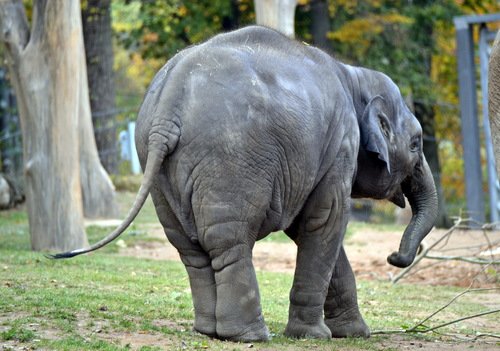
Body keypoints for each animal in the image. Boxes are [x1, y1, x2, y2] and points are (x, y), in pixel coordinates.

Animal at [50, 26, 438, 344]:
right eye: (416, 143)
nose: (393, 257)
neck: (353, 75)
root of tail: (168, 105)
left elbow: (309, 227)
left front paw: (354, 334)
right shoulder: (340, 145)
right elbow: (325, 221)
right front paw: (315, 336)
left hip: (157, 164)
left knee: (190, 248)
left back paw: (209, 331)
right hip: (230, 159)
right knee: (229, 241)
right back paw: (249, 335)